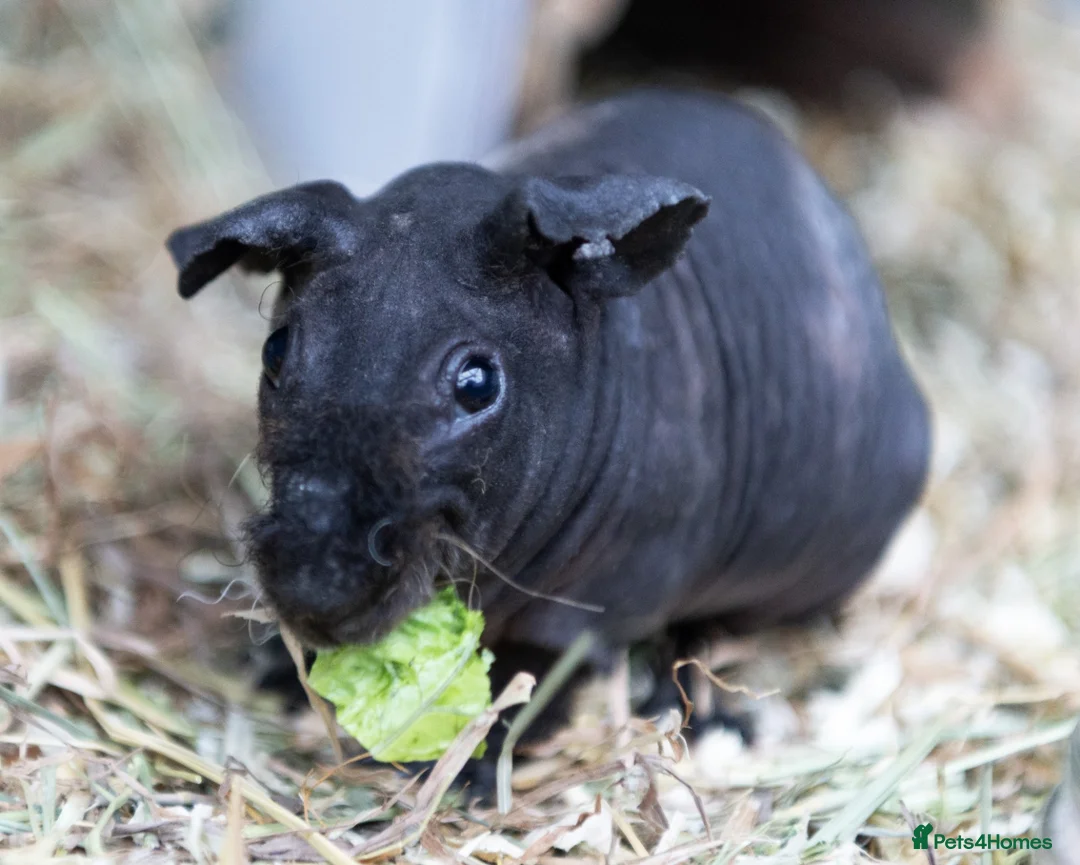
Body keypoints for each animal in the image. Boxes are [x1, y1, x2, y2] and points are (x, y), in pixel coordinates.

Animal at [167, 89, 929, 742]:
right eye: (275, 350)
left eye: (477, 383)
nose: (314, 582)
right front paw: (280, 673)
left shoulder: (596, 609)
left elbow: (532, 681)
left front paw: (473, 775)